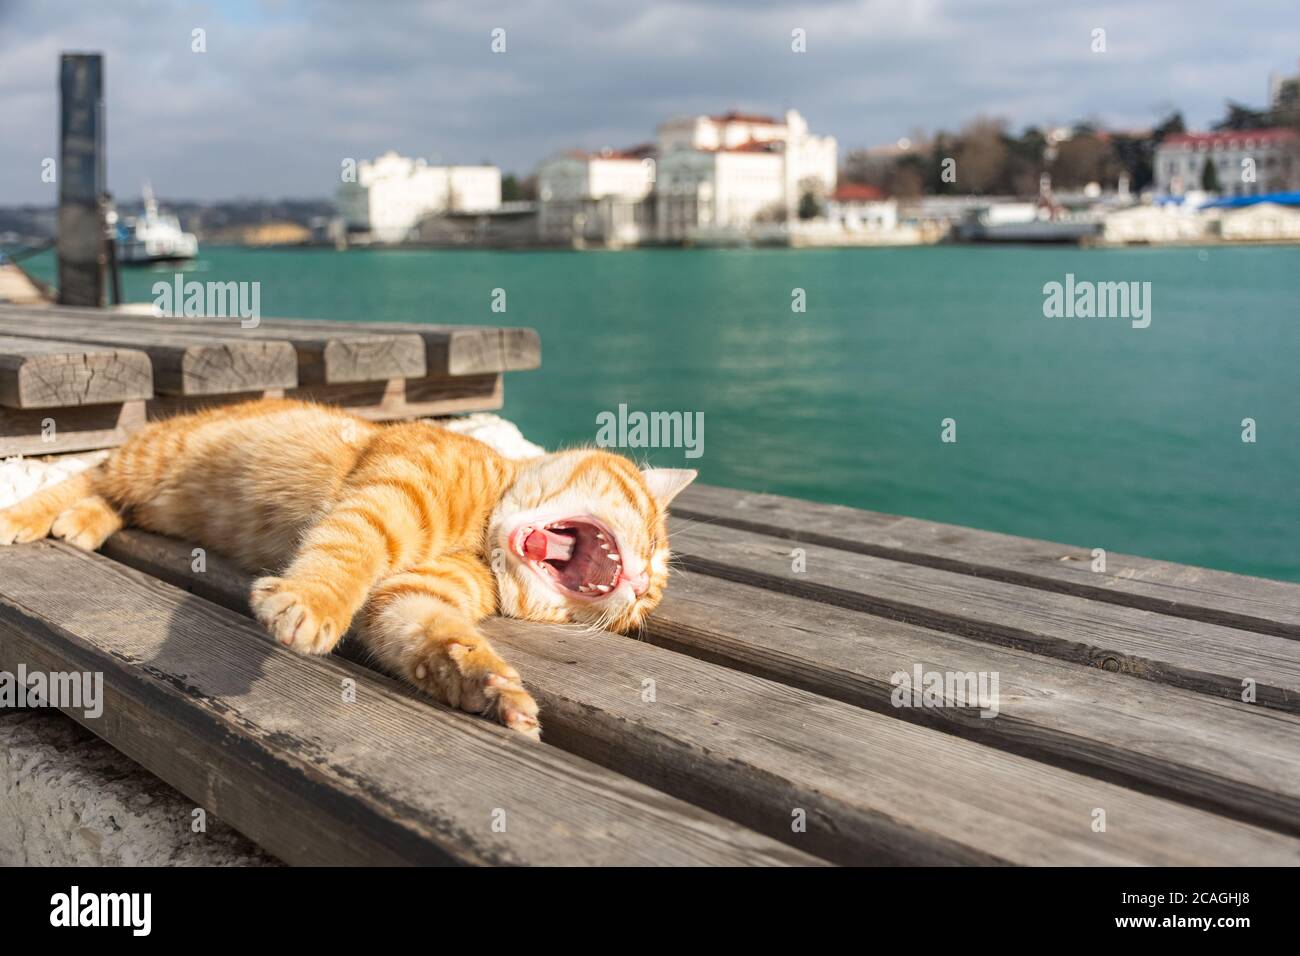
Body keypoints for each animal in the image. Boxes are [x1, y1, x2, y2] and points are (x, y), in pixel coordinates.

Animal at [0, 395, 696, 738]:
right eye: (651, 538)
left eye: (639, 610)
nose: (639, 584)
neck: (483, 534)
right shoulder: (389, 498)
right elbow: (347, 554)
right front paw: (311, 605)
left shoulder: (413, 596)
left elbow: (429, 635)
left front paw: (488, 686)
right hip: (153, 459)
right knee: (88, 474)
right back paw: (26, 515)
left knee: (108, 498)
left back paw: (85, 522)